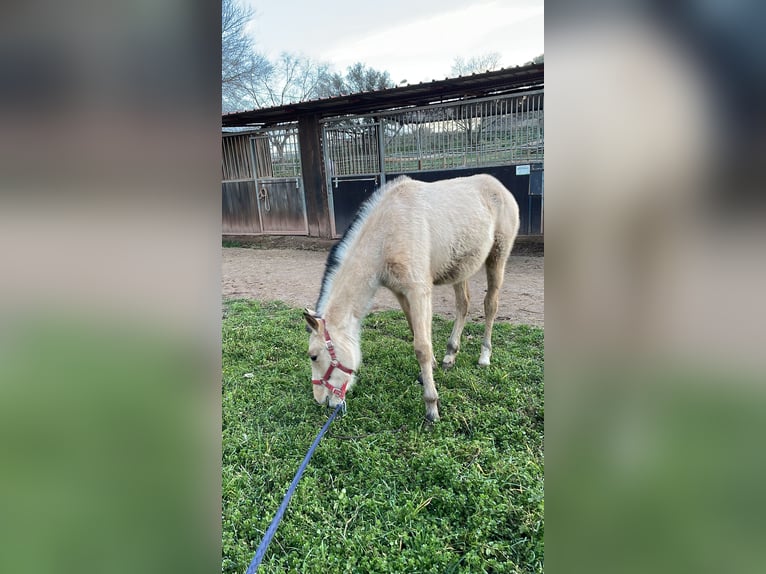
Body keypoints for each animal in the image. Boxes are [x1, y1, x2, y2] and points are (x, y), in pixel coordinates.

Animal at [306, 176, 520, 424]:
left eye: (313, 356)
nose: (321, 400)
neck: (387, 233)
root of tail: (498, 186)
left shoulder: (419, 291)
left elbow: (422, 347)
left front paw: (431, 406)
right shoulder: (401, 292)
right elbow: (415, 332)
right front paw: (432, 367)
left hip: (497, 257)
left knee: (490, 305)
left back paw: (484, 356)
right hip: (461, 268)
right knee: (463, 305)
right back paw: (450, 354)